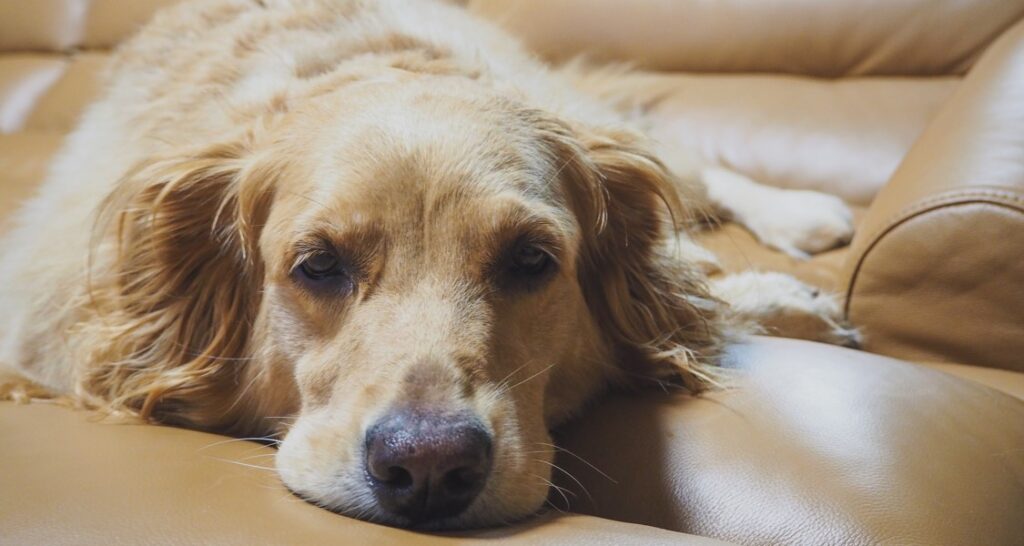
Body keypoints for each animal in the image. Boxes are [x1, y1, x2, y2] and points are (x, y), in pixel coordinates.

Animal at [0, 0, 856, 528]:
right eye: (317, 266)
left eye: (531, 260)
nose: (430, 468)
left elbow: (693, 290)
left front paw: (791, 301)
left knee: (698, 176)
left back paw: (802, 216)